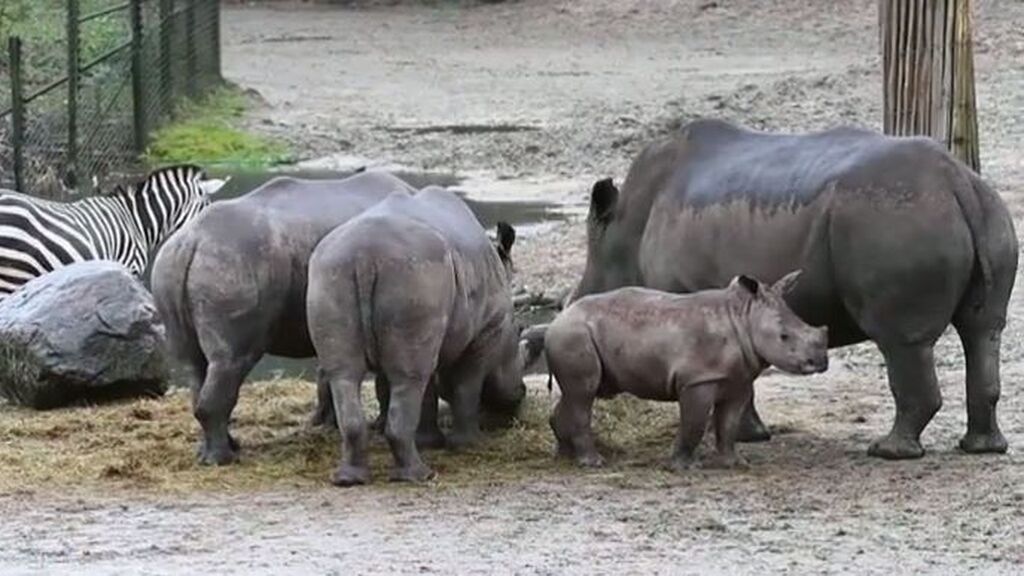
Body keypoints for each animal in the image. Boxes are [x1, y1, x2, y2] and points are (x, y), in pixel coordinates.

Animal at [149, 169, 413, 461]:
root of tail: (190, 244)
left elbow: (327, 372)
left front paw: (325, 424)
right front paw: (374, 425)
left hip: (173, 268)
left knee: (194, 364)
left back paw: (218, 450)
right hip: (234, 265)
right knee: (231, 360)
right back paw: (223, 459)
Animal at [305, 186, 524, 481]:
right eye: (518, 335)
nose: (520, 394)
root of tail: (364, 256)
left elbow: (423, 387)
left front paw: (429, 442)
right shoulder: (486, 331)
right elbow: (466, 385)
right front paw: (468, 444)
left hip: (333, 275)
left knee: (346, 374)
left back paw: (349, 479)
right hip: (413, 273)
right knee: (408, 378)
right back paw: (420, 476)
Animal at [548, 270, 827, 469]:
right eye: (784, 337)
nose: (821, 362)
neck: (744, 317)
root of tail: (558, 318)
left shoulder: (739, 380)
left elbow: (729, 424)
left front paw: (735, 463)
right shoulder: (698, 379)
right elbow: (695, 423)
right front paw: (683, 466)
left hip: (574, 334)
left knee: (575, 394)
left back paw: (565, 457)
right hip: (574, 334)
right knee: (584, 394)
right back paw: (593, 463)